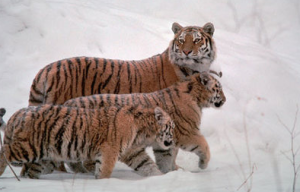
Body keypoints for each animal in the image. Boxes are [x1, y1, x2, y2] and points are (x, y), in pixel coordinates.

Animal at [27, 21, 218, 173]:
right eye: (181, 40)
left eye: (196, 40)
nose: (186, 52)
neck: (192, 70)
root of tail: (45, 70)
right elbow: (173, 147)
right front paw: (174, 169)